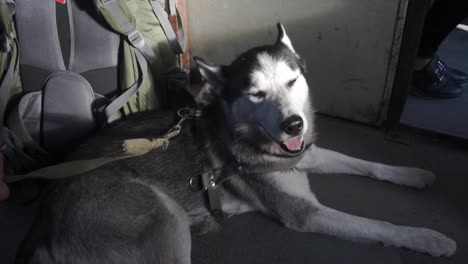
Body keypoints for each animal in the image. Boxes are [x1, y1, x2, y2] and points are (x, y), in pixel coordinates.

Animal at [16, 23, 456, 262]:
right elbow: (378, 224)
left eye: (292, 81)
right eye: (256, 94)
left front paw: (413, 174)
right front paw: (427, 237)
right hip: (165, 218)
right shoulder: (304, 213)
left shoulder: (306, 155)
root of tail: (44, 220)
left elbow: (368, 164)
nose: (294, 125)